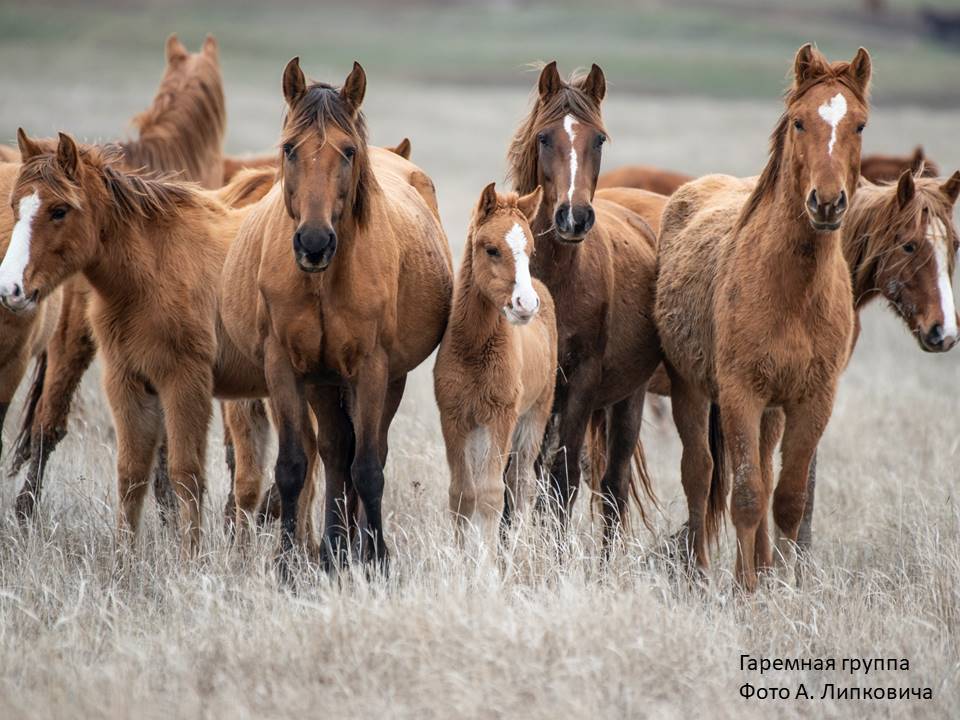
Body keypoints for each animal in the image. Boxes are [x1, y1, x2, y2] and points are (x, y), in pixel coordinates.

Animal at [2, 134, 270, 552]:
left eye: (60, 210)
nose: (10, 288)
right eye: (15, 206)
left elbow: (186, 475)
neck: (153, 271)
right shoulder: (128, 382)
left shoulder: (184, 383)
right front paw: (124, 558)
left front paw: (190, 557)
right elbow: (131, 475)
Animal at [434, 184, 556, 544]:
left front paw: (486, 558)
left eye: (530, 251)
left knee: (521, 481)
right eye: (491, 249)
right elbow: (462, 493)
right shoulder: (454, 416)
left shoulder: (502, 416)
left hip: (533, 416)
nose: (525, 304)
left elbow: (491, 494)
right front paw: (461, 555)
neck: (475, 348)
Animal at [652, 45, 872, 588]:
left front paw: (782, 587)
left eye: (859, 125)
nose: (827, 202)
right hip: (692, 391)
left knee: (762, 476)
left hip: (773, 409)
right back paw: (700, 571)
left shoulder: (812, 400)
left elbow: (787, 497)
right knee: (701, 473)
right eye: (798, 121)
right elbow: (746, 496)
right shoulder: (739, 394)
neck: (793, 291)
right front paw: (745, 591)